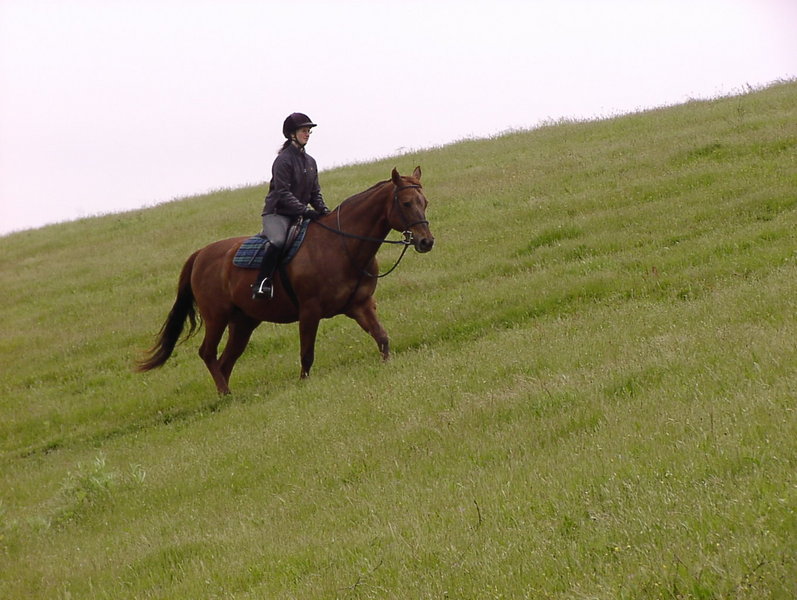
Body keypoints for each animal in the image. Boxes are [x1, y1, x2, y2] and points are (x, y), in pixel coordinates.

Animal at [137, 166, 434, 394]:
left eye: (425, 202)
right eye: (406, 203)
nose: (426, 242)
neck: (341, 245)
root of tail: (200, 255)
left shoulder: (360, 305)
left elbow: (382, 337)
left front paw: (387, 365)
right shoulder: (309, 311)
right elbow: (307, 354)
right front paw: (304, 385)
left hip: (243, 323)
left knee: (224, 361)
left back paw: (228, 394)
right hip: (216, 317)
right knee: (208, 354)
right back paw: (225, 396)